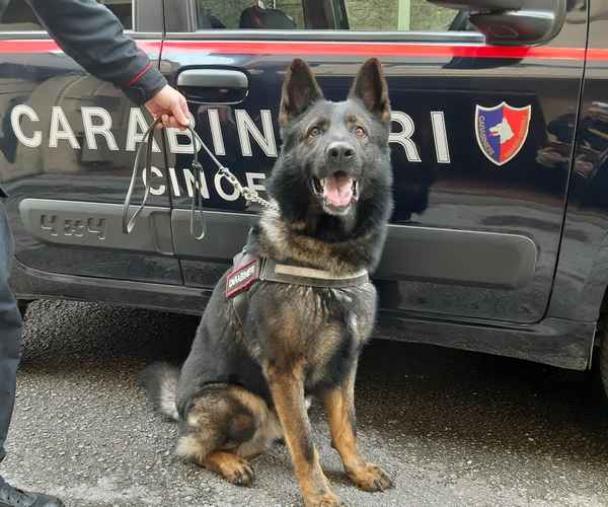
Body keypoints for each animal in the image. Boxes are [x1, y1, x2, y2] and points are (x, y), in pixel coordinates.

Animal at [145, 58, 396, 504]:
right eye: (314, 132)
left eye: (359, 131)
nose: (340, 151)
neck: (327, 256)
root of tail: (182, 407)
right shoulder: (284, 370)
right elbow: (307, 444)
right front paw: (319, 494)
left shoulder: (344, 366)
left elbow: (346, 426)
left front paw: (358, 470)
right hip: (240, 400)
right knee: (194, 449)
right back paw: (230, 463)